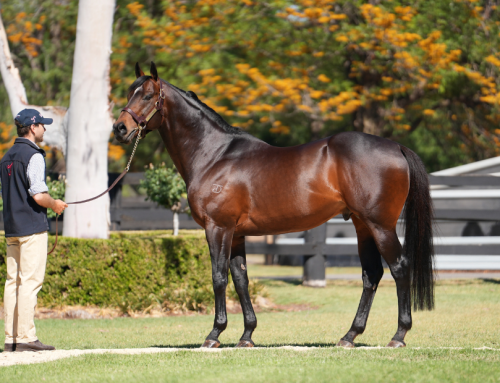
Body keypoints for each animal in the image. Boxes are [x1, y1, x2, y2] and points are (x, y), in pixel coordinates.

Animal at [113, 63, 434, 352]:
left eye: (147, 95)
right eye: (130, 93)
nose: (120, 128)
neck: (215, 155)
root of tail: (396, 147)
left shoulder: (218, 228)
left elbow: (218, 278)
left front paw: (214, 334)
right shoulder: (236, 234)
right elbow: (241, 279)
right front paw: (246, 336)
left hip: (381, 226)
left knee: (399, 269)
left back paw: (398, 335)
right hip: (362, 225)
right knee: (372, 275)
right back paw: (349, 336)